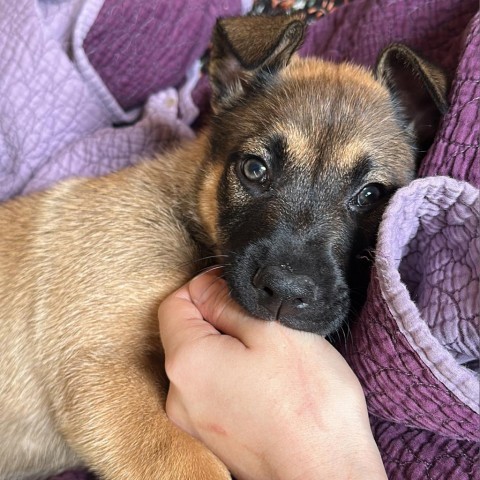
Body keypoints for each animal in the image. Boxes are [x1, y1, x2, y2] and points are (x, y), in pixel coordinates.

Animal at [0, 15, 446, 480]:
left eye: (371, 195)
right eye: (254, 169)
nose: (285, 293)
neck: (188, 215)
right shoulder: (98, 368)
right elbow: (191, 463)